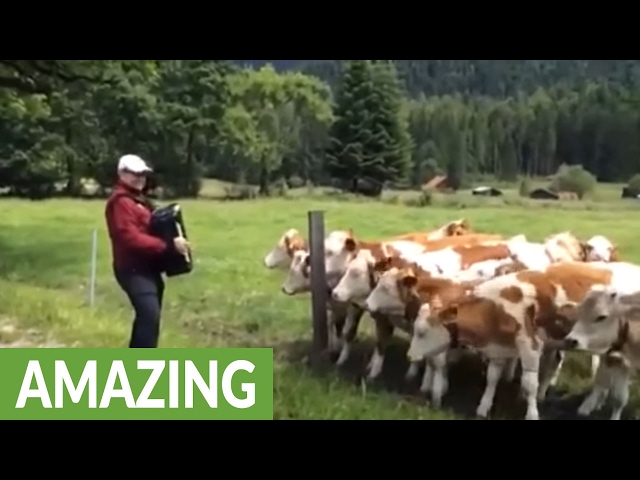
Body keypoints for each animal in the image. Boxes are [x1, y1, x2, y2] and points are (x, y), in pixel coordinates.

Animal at [408, 260, 636, 418]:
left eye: (421, 332)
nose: (410, 356)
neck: (495, 306)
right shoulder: (498, 347)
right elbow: (492, 377)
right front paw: (483, 407)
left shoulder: (530, 345)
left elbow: (529, 384)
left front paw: (532, 414)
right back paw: (592, 403)